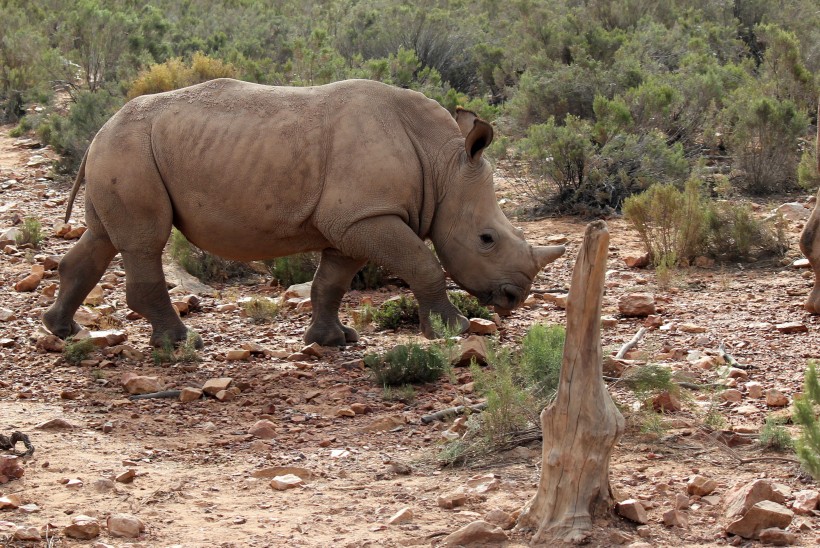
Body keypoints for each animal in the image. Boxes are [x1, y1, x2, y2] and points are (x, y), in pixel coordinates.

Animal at [43, 77, 564, 346]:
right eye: (486, 239)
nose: (514, 297)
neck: (443, 165)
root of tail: (99, 129)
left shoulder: (353, 221)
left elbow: (331, 281)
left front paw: (334, 339)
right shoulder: (364, 215)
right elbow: (424, 264)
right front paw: (454, 330)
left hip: (123, 150)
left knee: (103, 237)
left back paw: (62, 329)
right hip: (129, 149)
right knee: (143, 242)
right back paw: (181, 343)